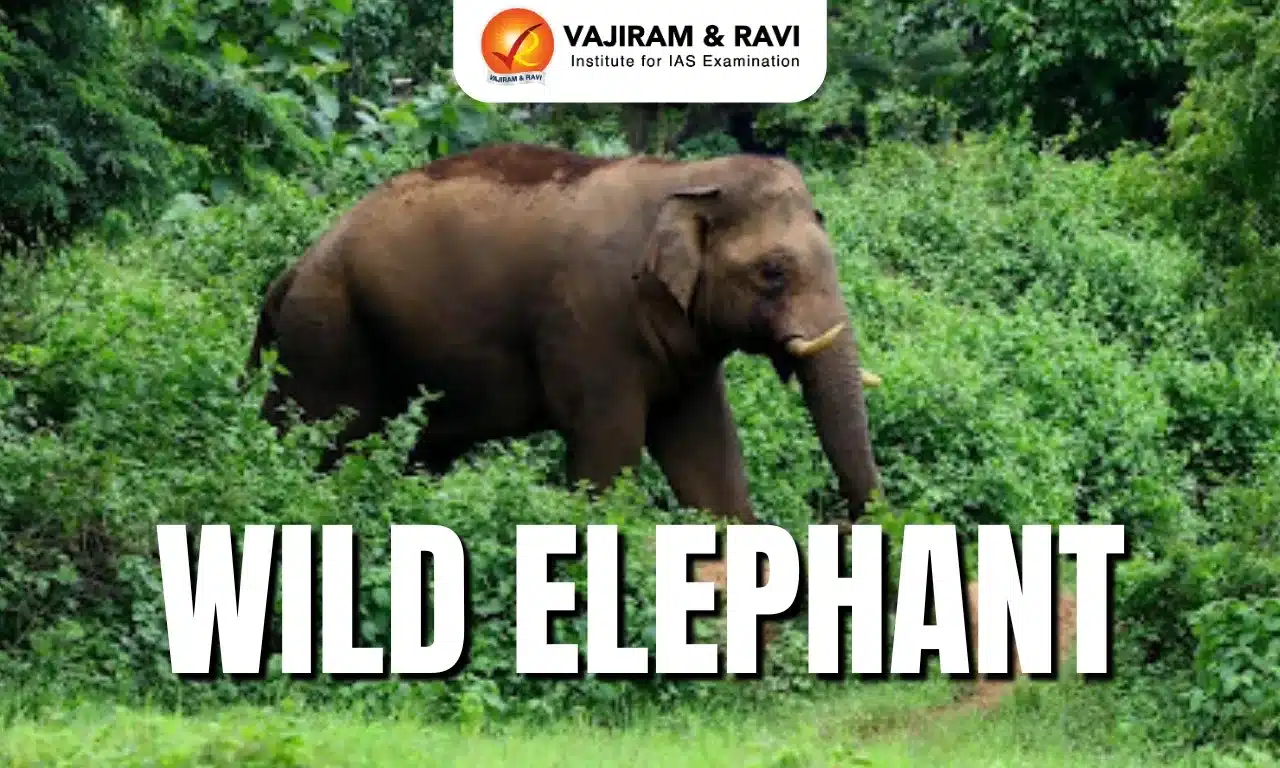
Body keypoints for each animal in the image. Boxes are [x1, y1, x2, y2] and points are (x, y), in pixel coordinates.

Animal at [245, 142, 883, 523]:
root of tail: (288, 274)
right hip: (325, 338)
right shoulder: (590, 319)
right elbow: (609, 447)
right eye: (773, 272)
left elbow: (707, 454)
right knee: (313, 440)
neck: (688, 177)